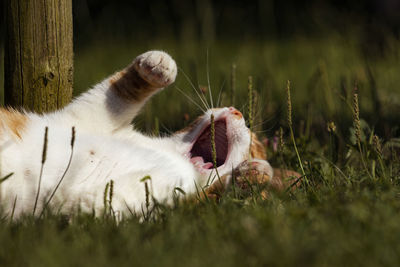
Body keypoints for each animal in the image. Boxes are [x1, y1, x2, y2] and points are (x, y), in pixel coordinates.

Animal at [0, 50, 294, 220]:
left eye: (255, 145)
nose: (236, 110)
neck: (165, 154)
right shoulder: (83, 119)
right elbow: (117, 92)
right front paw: (159, 65)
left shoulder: (127, 208)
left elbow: (203, 202)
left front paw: (253, 175)